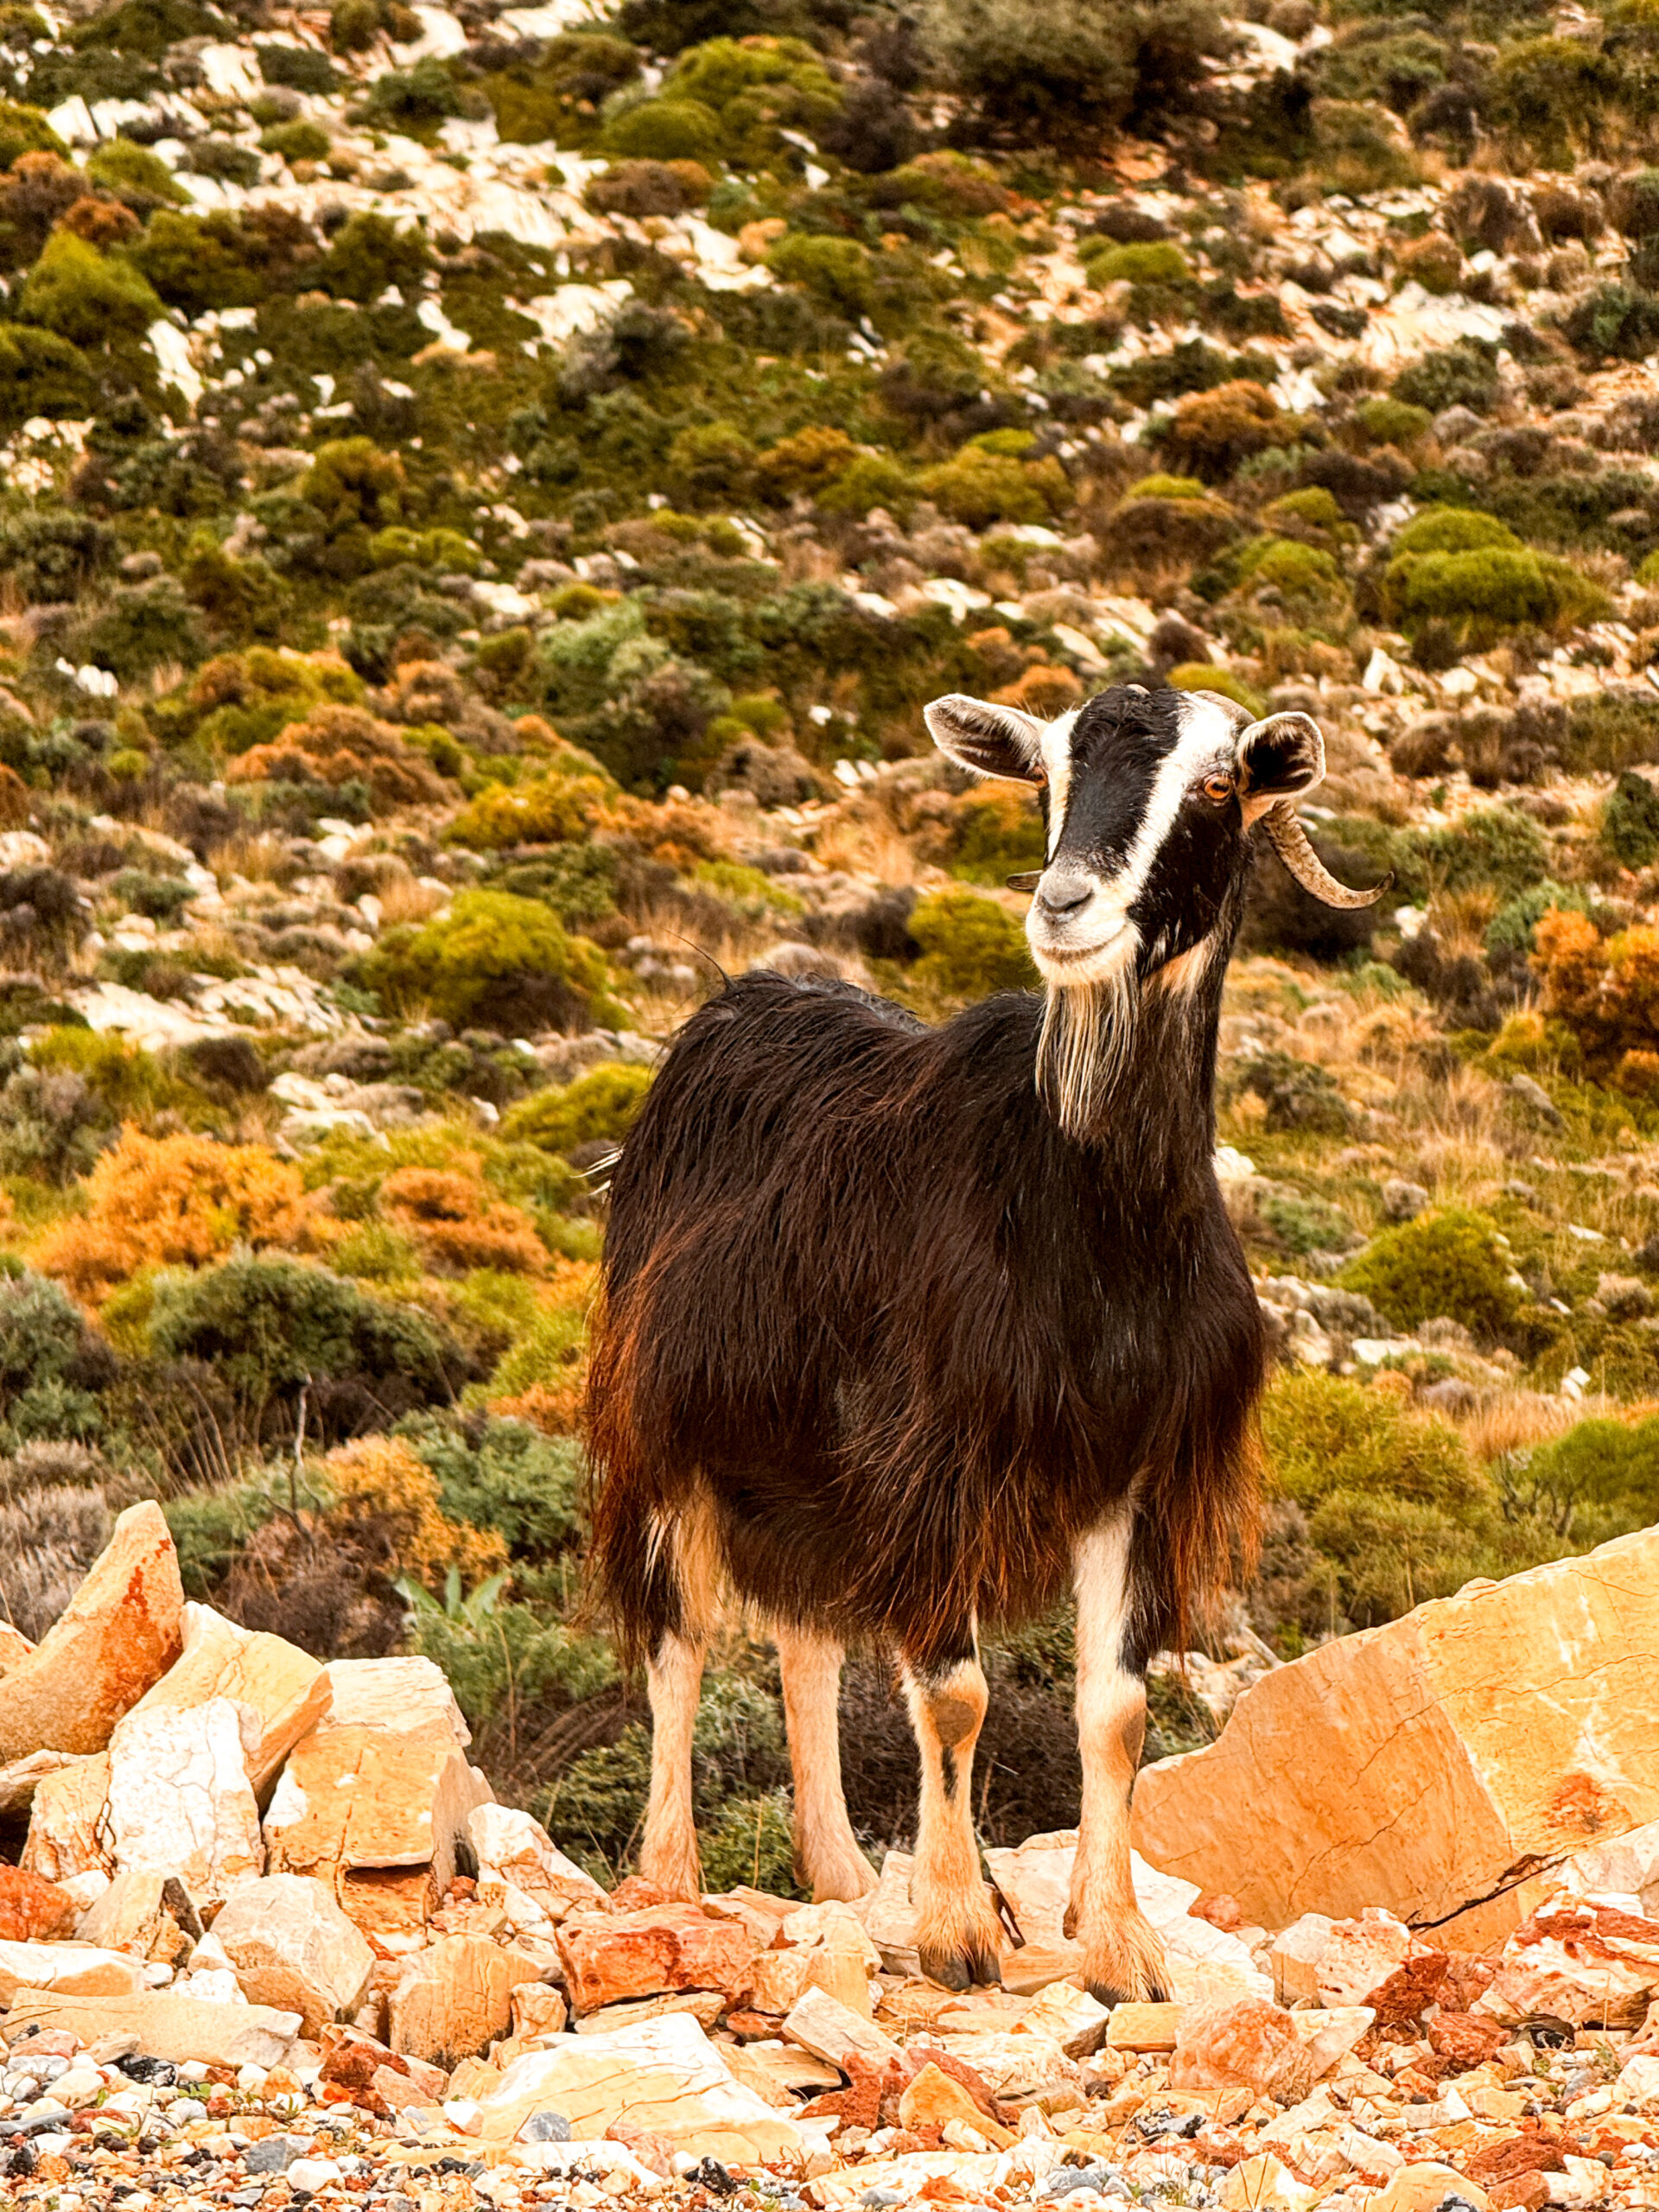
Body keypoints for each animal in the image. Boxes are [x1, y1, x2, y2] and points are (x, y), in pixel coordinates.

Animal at [586, 683, 1382, 1999]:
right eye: (1046, 774)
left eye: (1219, 785)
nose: (1065, 907)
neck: (1097, 1226)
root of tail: (742, 1000)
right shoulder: (937, 1456)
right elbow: (953, 1694)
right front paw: (959, 1929)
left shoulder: (1133, 1474)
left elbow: (1114, 1710)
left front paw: (1119, 1945)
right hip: (669, 1434)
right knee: (678, 1638)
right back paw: (671, 1883)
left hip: (815, 1465)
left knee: (806, 1638)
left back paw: (839, 1875)